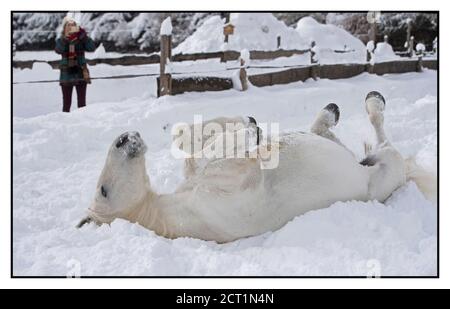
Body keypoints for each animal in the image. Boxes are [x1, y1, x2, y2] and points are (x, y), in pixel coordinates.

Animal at [77, 90, 436, 242]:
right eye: (103, 190)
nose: (125, 138)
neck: (163, 213)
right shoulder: (225, 200)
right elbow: (219, 161)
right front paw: (249, 131)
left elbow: (196, 152)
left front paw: (245, 125)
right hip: (381, 175)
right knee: (385, 147)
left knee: (332, 133)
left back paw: (345, 105)